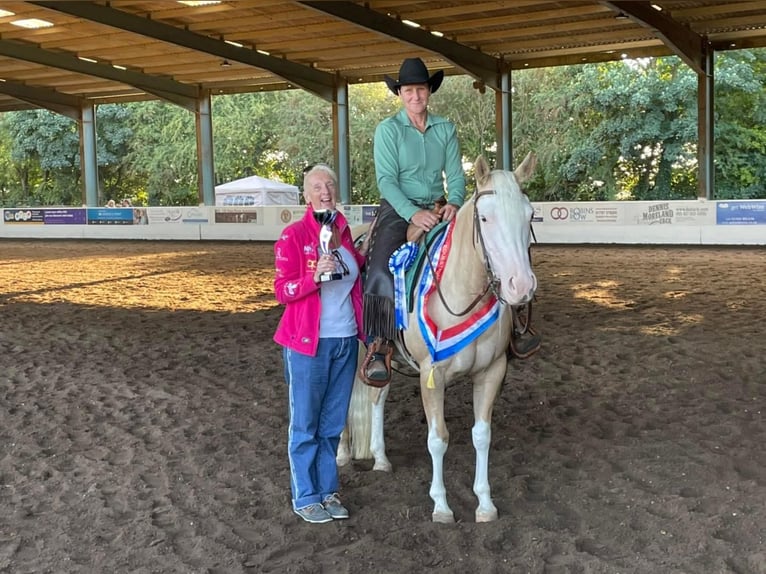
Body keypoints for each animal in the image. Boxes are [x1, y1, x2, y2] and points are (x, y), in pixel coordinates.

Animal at [342, 155, 540, 524]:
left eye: (529, 213)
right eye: (485, 217)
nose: (521, 286)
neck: (461, 290)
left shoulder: (492, 371)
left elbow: (482, 435)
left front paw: (485, 503)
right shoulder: (431, 375)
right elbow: (438, 438)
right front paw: (441, 505)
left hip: (383, 357)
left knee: (377, 395)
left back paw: (380, 458)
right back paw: (341, 454)